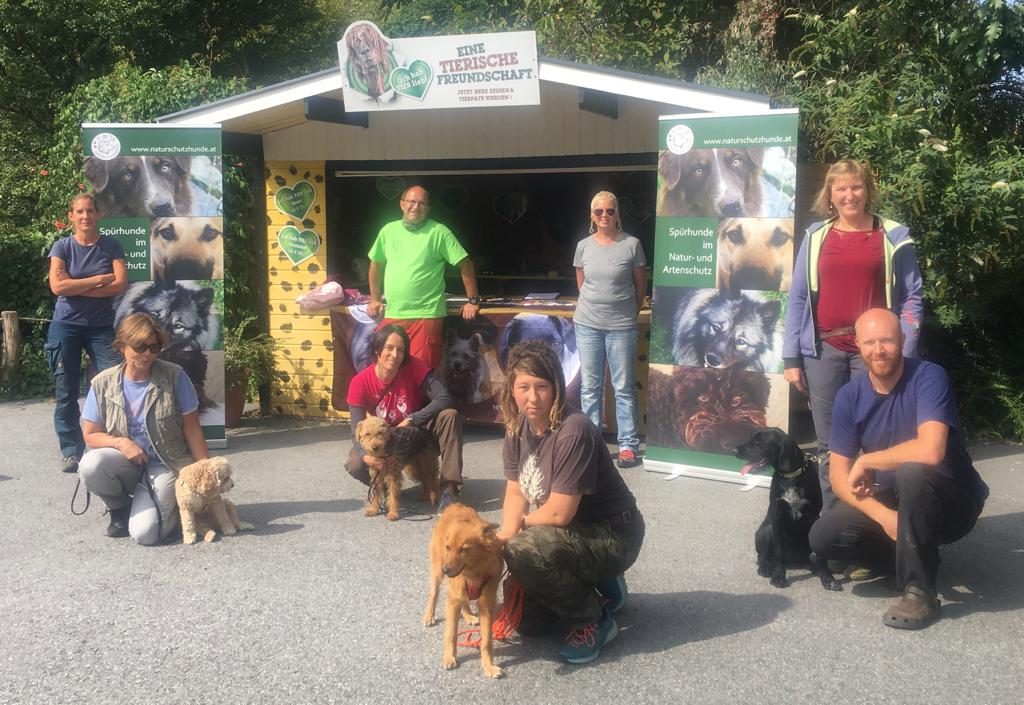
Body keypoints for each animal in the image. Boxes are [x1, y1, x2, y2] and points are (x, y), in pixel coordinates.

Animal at [423, 502, 503, 676]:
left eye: (463, 549)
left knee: (465, 600)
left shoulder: (486, 604)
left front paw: (488, 666)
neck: (473, 572)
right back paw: (429, 616)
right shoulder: (453, 601)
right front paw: (449, 657)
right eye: (448, 547)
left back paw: (468, 615)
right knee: (434, 594)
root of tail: (455, 504)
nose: (446, 569)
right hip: (437, 573)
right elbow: (451, 634)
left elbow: (486, 640)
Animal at [737, 430, 839, 590]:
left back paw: (813, 567)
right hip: (766, 530)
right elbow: (779, 552)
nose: (734, 450)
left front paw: (828, 578)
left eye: (757, 442)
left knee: (804, 559)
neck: (790, 477)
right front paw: (778, 576)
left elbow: (820, 555)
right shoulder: (777, 517)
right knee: (763, 557)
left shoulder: (814, 517)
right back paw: (765, 568)